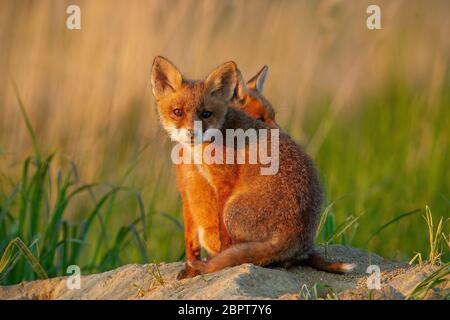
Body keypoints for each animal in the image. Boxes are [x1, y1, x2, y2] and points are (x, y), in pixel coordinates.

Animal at [151, 57, 356, 278]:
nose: (191, 133)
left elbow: (222, 239)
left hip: (231, 210)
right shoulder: (189, 191)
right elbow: (191, 239)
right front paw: (192, 268)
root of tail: (297, 235)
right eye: (177, 112)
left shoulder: (223, 183)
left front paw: (212, 263)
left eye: (206, 114)